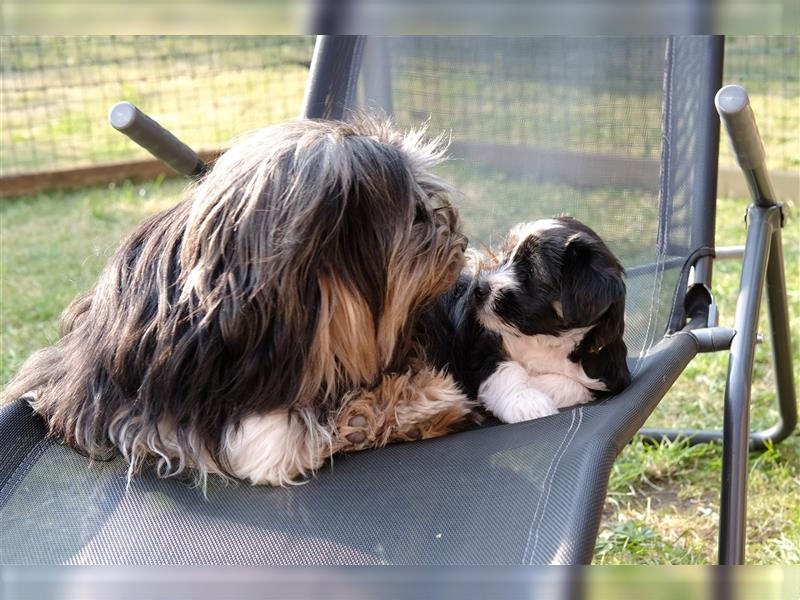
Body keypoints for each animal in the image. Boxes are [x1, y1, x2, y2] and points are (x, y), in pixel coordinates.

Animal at [418, 218, 632, 424]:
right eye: (504, 256)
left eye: (531, 271)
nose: (478, 288)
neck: (545, 339)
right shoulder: (484, 345)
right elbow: (507, 369)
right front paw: (527, 402)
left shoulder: (609, 375)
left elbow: (575, 384)